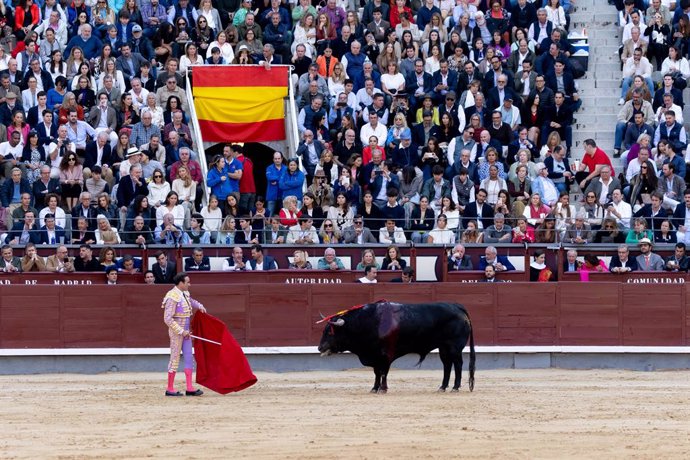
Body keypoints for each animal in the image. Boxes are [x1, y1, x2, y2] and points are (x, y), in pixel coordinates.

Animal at [318, 302, 472, 392]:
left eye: (330, 332)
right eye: (324, 331)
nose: (320, 348)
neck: (369, 322)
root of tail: (457, 307)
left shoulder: (386, 355)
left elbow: (383, 372)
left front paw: (383, 389)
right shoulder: (374, 356)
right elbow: (376, 373)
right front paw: (374, 388)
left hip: (454, 347)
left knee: (458, 364)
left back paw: (455, 387)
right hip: (443, 348)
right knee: (447, 365)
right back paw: (442, 387)